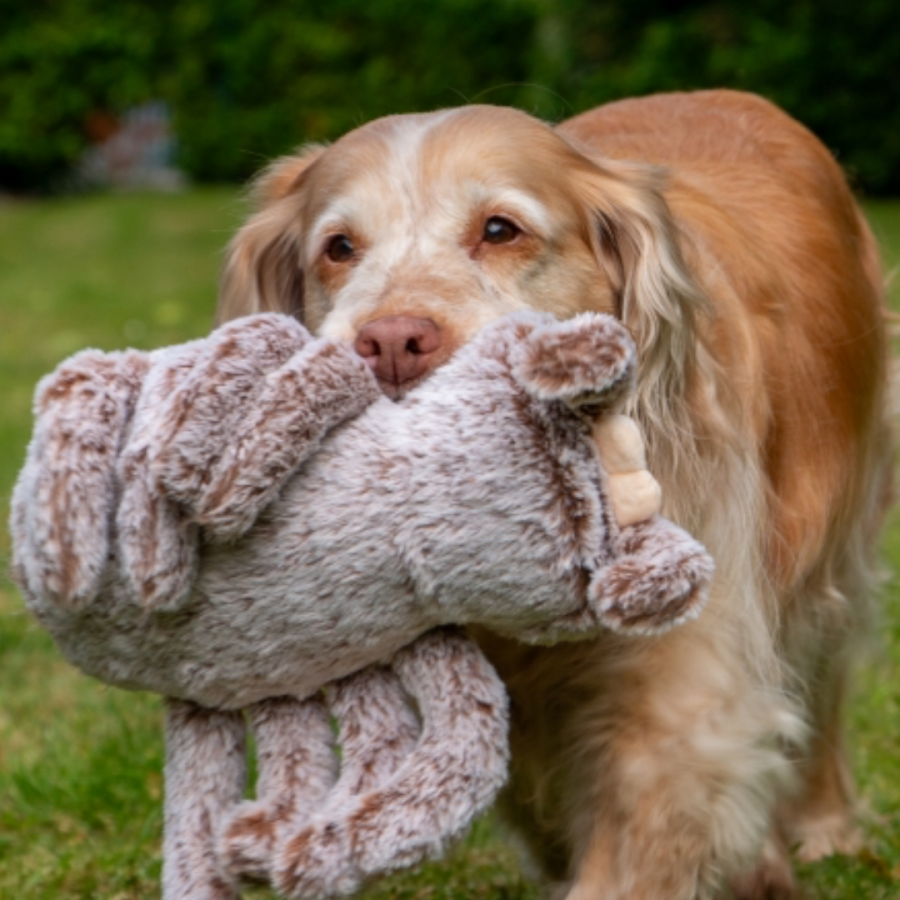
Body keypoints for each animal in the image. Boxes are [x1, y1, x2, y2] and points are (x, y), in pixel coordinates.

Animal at [213, 93, 892, 900]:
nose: (391, 343)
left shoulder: (674, 698)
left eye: (500, 230)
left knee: (822, 684)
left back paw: (822, 828)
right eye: (339, 248)